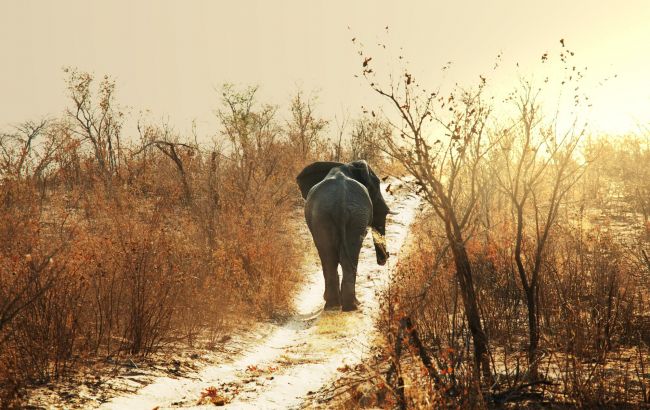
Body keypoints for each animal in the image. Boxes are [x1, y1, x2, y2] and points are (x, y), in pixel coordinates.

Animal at [296, 160, 392, 310]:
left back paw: (337, 305)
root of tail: (340, 201)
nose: (386, 256)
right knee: (340, 257)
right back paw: (349, 305)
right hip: (346, 215)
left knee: (332, 257)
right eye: (376, 184)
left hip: (335, 216)